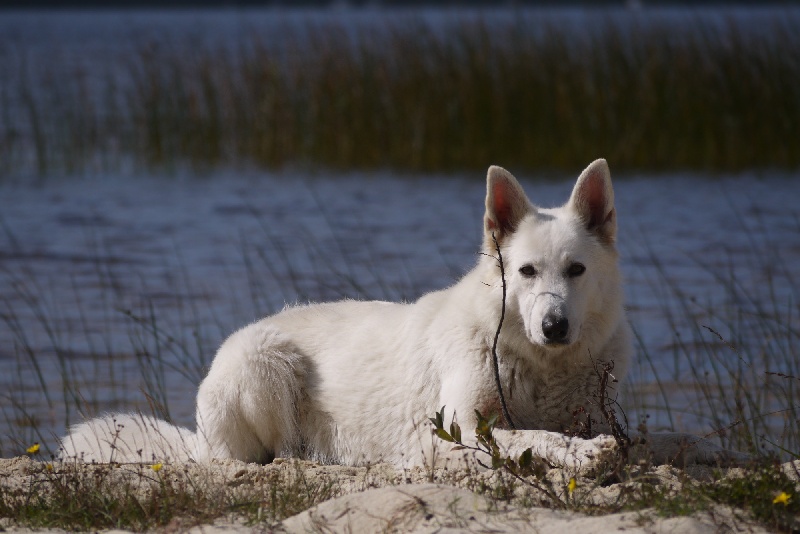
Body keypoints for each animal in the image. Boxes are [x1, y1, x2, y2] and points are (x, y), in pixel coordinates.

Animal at [61, 160, 744, 474]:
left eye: (575, 271)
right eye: (526, 273)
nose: (554, 327)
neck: (541, 366)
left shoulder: (607, 413)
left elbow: (659, 438)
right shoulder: (464, 430)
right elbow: (538, 437)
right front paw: (583, 454)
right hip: (267, 368)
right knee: (269, 457)